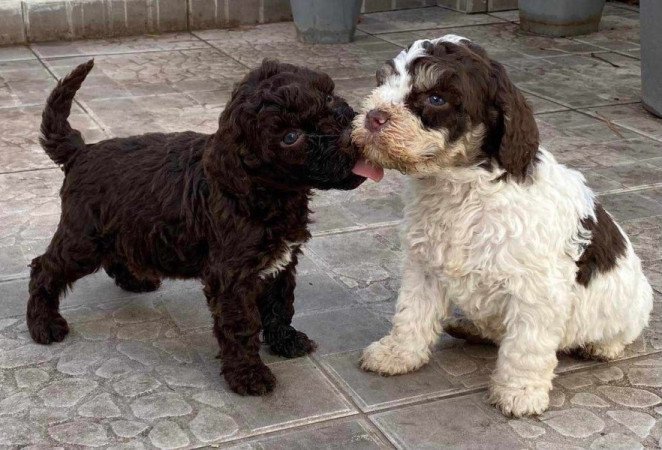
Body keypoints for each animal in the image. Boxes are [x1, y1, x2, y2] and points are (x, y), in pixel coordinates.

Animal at [356, 36, 656, 418]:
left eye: (436, 99)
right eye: (382, 82)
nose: (372, 117)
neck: (462, 187)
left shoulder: (537, 290)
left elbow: (526, 346)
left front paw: (520, 392)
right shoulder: (423, 267)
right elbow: (412, 313)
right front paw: (397, 354)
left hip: (633, 304)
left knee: (622, 331)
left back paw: (601, 347)